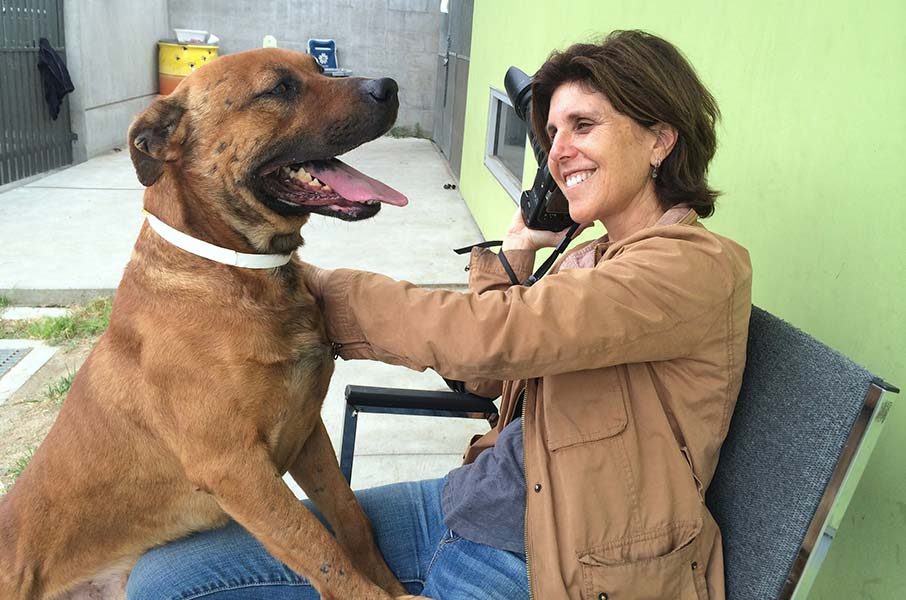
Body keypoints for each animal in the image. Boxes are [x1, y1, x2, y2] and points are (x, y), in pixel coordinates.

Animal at [0, 48, 426, 600]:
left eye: (317, 66)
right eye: (279, 89)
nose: (389, 87)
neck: (237, 272)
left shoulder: (307, 431)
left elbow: (350, 518)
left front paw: (388, 581)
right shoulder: (235, 469)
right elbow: (321, 550)